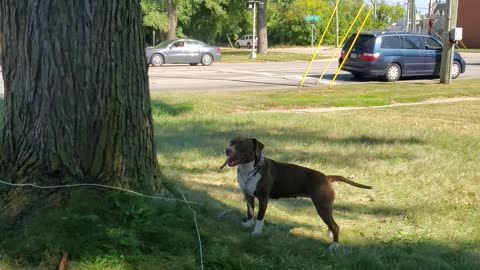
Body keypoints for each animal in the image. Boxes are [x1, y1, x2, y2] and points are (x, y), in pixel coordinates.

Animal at [219, 137, 374, 249]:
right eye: (231, 142)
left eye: (241, 145)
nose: (227, 149)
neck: (250, 169)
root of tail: (327, 177)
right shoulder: (248, 195)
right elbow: (250, 211)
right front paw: (248, 224)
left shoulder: (263, 198)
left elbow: (260, 217)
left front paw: (256, 232)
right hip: (326, 207)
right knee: (332, 223)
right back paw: (330, 235)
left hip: (322, 207)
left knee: (335, 225)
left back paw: (335, 246)